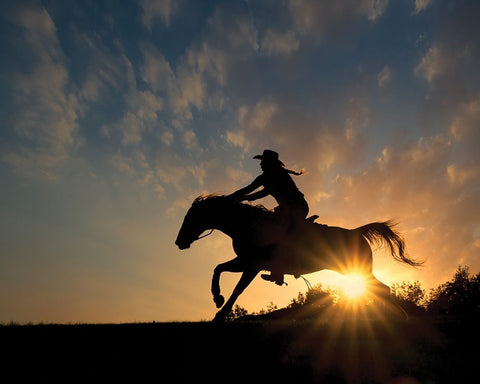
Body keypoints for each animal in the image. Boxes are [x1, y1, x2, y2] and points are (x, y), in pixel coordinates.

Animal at [174, 194, 418, 320]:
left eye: (192, 217)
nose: (178, 242)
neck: (250, 225)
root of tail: (356, 232)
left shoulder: (252, 265)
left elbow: (237, 289)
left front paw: (220, 312)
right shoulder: (246, 262)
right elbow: (218, 268)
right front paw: (217, 298)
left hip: (358, 271)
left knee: (382, 289)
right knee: (381, 290)